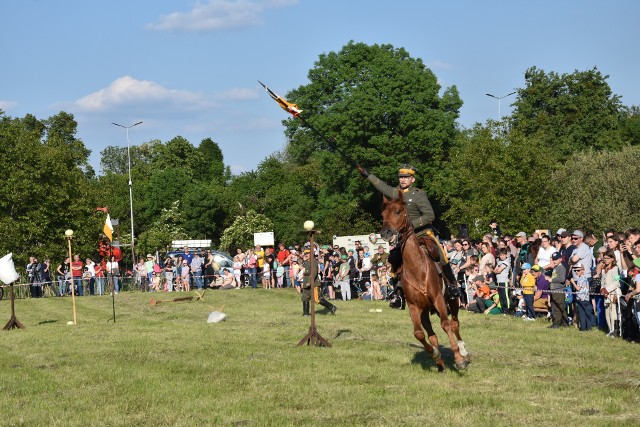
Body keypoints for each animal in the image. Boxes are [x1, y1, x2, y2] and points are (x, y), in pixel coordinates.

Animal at [380, 192, 470, 372]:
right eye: (383, 214)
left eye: (398, 211)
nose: (386, 233)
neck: (417, 268)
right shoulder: (414, 307)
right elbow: (419, 334)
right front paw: (435, 354)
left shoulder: (438, 299)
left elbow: (446, 325)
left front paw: (458, 359)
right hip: (425, 311)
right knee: (432, 334)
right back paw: (440, 362)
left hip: (452, 301)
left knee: (454, 324)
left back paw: (463, 351)